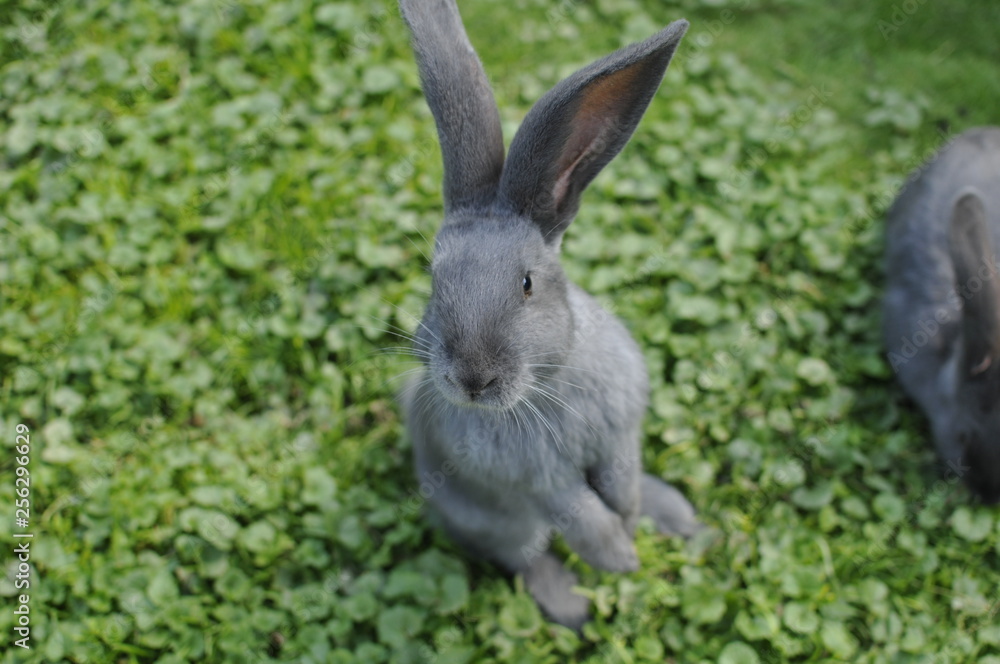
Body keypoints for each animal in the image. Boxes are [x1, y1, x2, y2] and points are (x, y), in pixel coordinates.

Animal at [396, 0, 698, 629]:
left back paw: (676, 515)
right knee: (525, 558)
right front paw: (622, 559)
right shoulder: (543, 485)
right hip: (500, 524)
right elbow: (581, 515)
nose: (472, 379)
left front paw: (631, 528)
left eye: (527, 284)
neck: (549, 384)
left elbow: (620, 484)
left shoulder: (619, 437)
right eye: (435, 282)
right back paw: (573, 606)